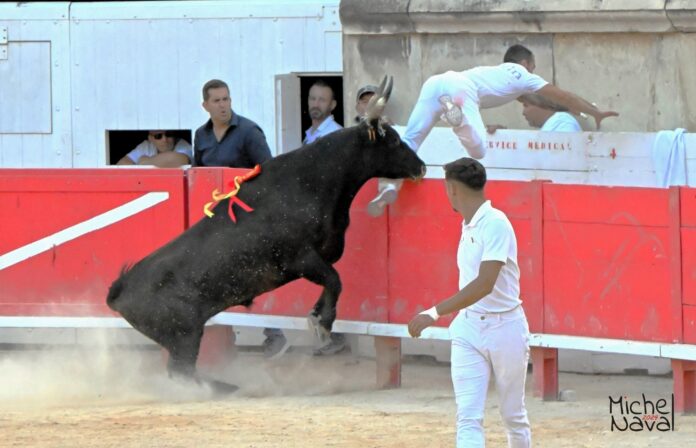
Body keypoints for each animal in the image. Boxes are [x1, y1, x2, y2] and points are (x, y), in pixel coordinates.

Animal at [106, 117, 426, 384]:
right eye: (393, 141)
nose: (422, 167)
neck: (311, 181)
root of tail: (120, 291)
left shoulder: (316, 259)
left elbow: (332, 281)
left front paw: (316, 317)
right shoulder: (302, 259)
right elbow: (335, 280)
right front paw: (322, 323)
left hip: (182, 336)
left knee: (181, 371)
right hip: (185, 333)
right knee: (182, 371)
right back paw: (221, 387)